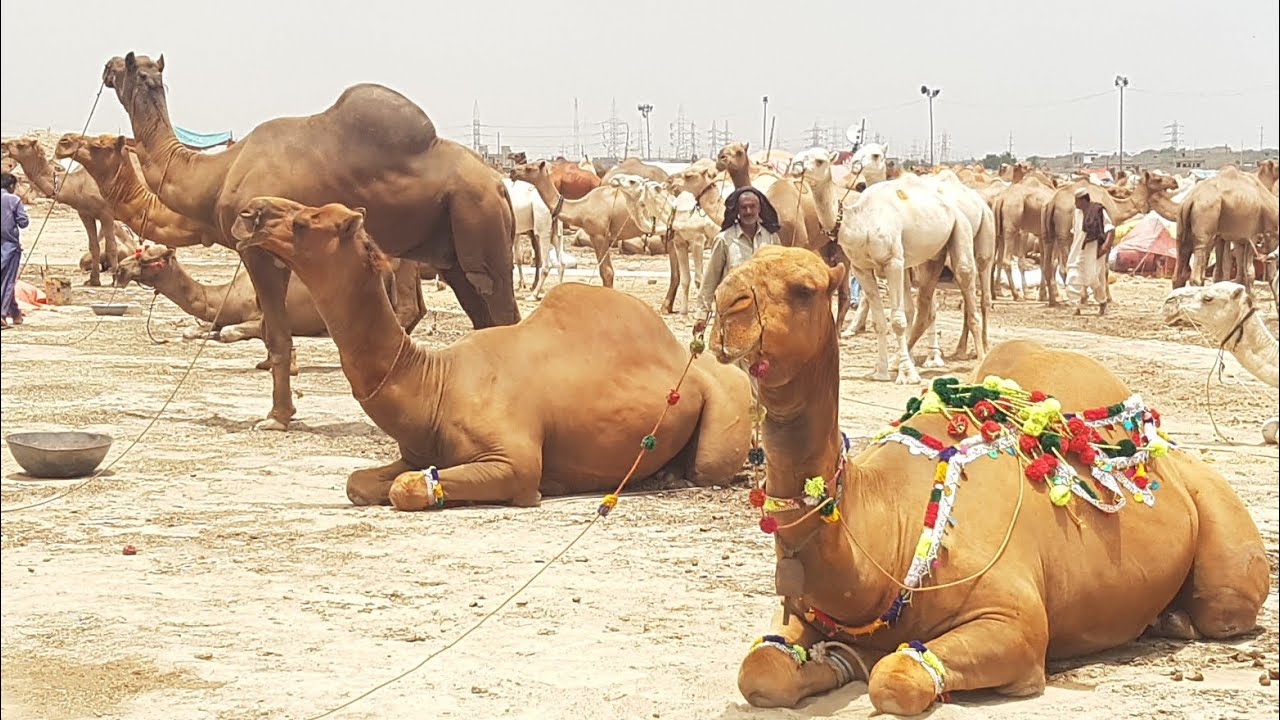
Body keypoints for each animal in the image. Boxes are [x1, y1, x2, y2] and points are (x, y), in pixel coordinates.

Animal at [2, 136, 133, 285]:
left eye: (21, 144)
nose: (3, 145)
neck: (77, 185)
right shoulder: (85, 213)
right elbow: (94, 247)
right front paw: (93, 280)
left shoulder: (106, 214)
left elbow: (111, 246)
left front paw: (115, 281)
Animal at [103, 52, 511, 431]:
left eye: (128, 67)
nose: (107, 67)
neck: (220, 173)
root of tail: (498, 182)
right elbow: (273, 330)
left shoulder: (257, 251)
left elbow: (276, 333)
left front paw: (276, 417)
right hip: (452, 254)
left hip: (479, 223)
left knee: (501, 309)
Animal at [230, 196, 753, 508]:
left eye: (303, 221)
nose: (249, 211)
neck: (435, 383)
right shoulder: (415, 451)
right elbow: (357, 481)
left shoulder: (514, 461)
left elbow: (407, 488)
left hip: (724, 417)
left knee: (709, 465)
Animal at [1040, 172, 1179, 305]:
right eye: (1158, 179)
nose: (1174, 182)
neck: (1117, 208)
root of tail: (1053, 202)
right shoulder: (1104, 234)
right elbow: (1105, 269)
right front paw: (1108, 298)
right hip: (1064, 232)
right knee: (1064, 268)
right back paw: (1076, 298)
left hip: (1049, 233)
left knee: (1047, 265)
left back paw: (1053, 301)